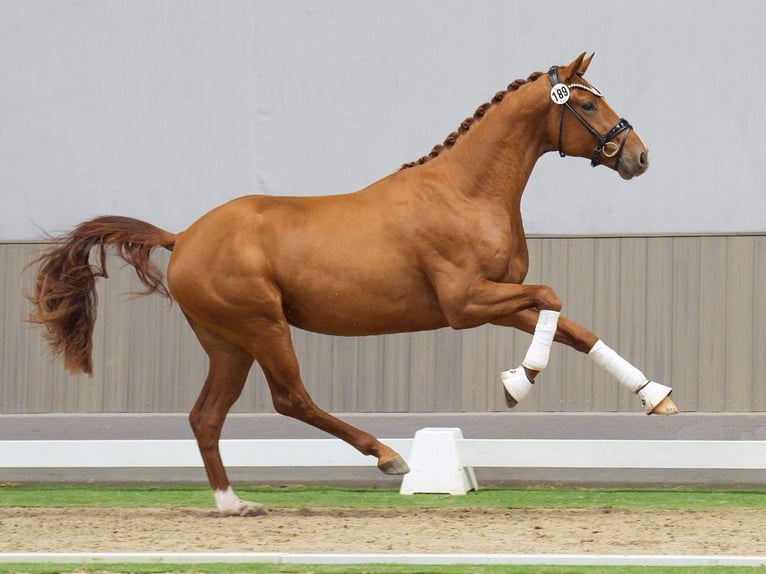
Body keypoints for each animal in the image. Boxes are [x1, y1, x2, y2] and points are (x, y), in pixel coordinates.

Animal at [30, 53, 680, 516]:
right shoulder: (466, 304)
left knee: (205, 417)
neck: (466, 191)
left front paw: (656, 397)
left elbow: (575, 327)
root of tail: (183, 235)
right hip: (261, 326)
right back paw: (389, 457)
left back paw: (233, 504)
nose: (640, 157)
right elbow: (553, 299)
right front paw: (517, 384)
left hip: (228, 344)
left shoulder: (499, 301)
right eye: (588, 104)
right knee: (290, 399)